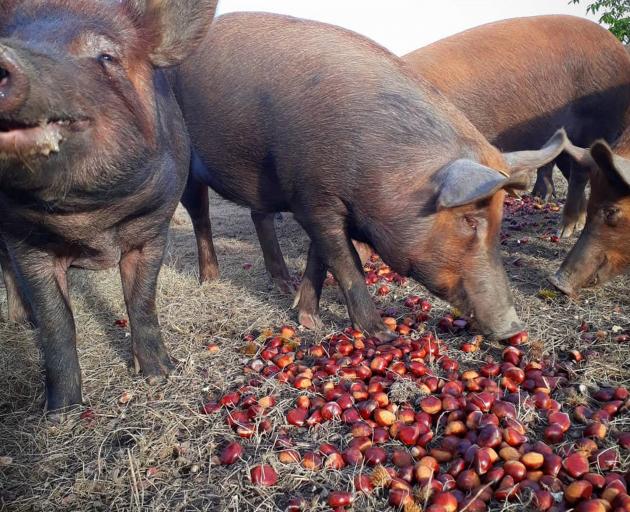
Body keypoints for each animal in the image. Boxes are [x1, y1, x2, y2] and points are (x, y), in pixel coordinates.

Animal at [0, 0, 220, 412]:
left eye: (105, 56)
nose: (5, 54)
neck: (90, 222)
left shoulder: (152, 230)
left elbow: (142, 300)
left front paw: (160, 374)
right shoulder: (25, 242)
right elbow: (57, 322)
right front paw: (61, 412)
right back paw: (22, 323)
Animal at [175, 12, 572, 340]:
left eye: (500, 218)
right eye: (470, 221)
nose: (513, 328)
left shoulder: (320, 202)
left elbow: (319, 258)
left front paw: (308, 320)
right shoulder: (313, 200)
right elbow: (346, 261)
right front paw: (382, 334)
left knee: (259, 215)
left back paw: (282, 284)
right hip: (185, 162)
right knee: (200, 215)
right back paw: (209, 280)